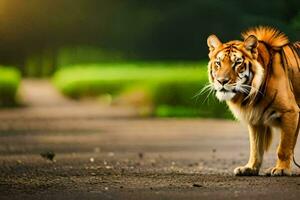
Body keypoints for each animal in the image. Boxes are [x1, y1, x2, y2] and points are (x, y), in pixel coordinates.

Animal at [207, 26, 298, 177]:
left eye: (237, 63)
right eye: (218, 63)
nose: (222, 81)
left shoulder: (290, 112)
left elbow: (284, 147)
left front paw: (282, 169)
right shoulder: (255, 117)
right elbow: (255, 147)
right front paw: (250, 168)